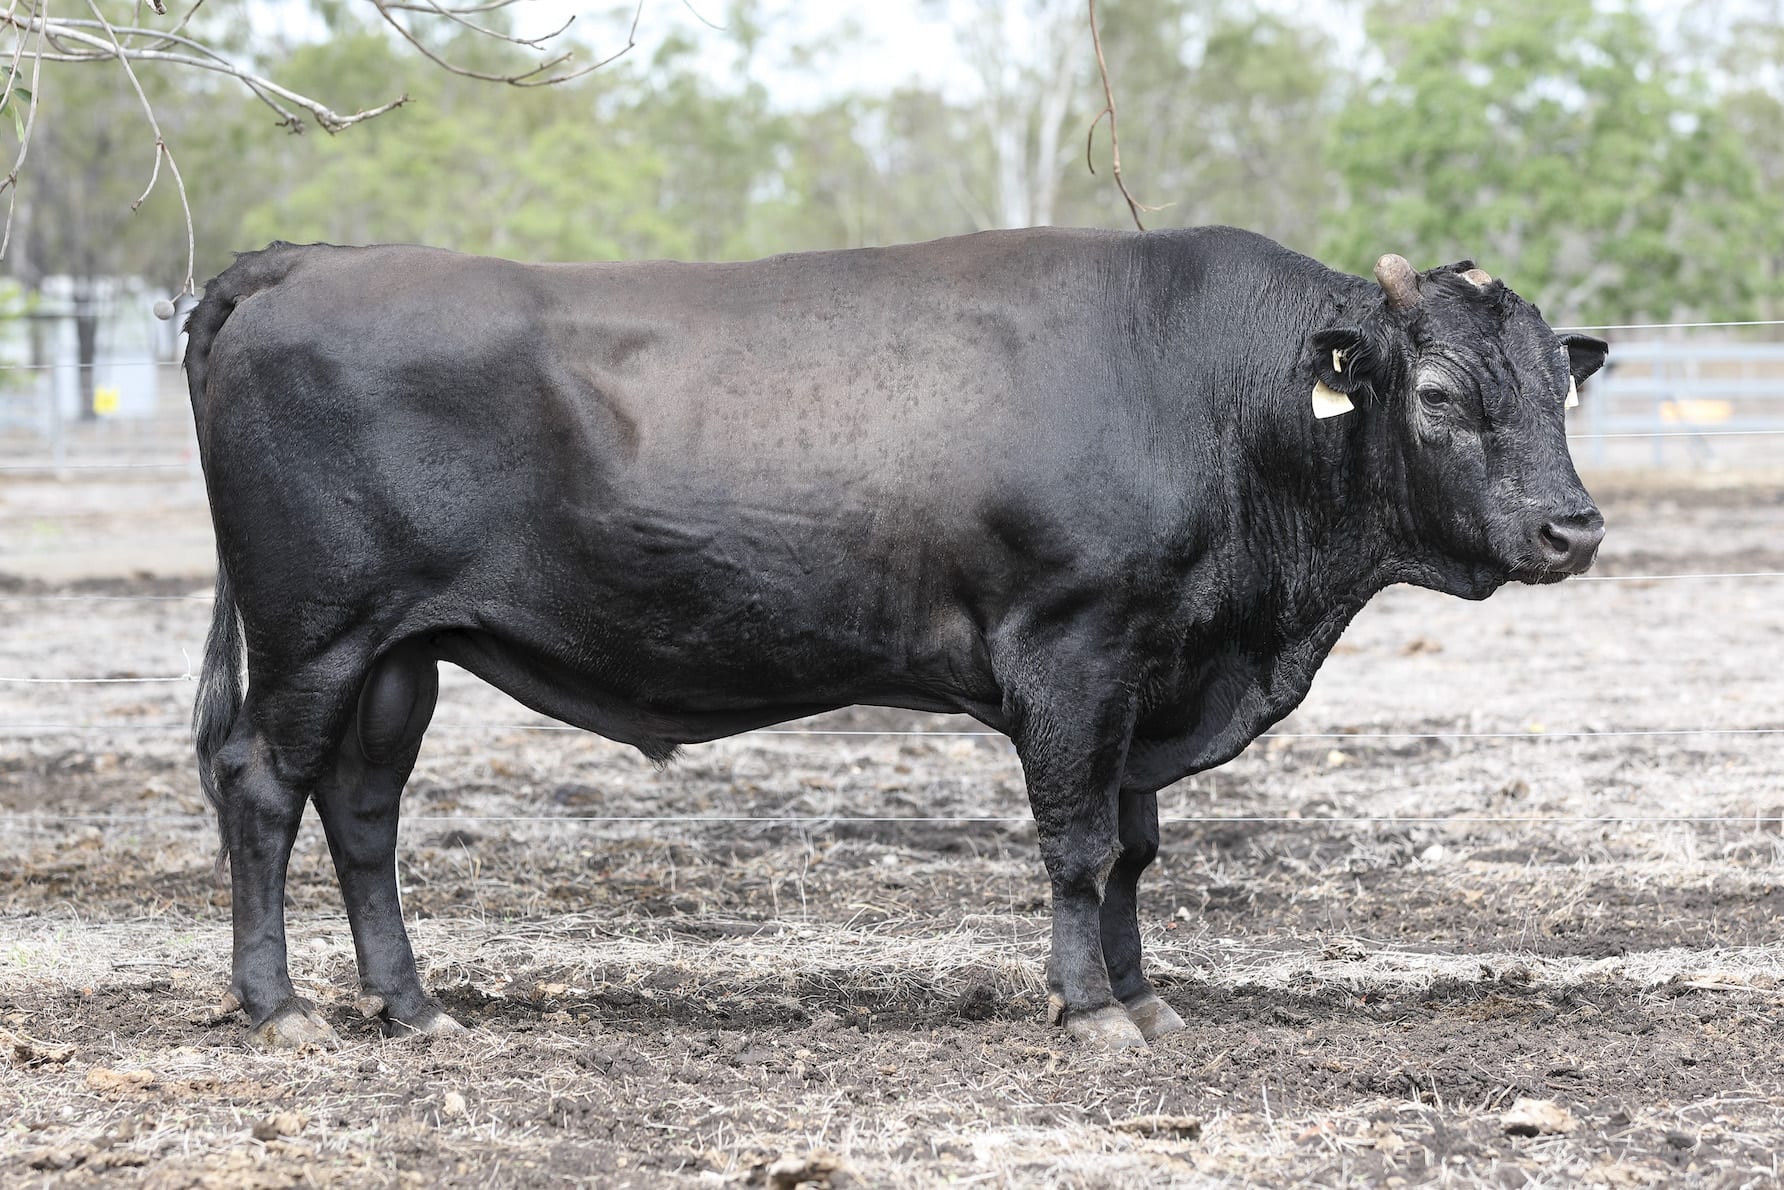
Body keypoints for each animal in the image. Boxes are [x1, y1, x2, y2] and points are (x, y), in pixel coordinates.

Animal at [188, 228, 1612, 1049]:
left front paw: (1143, 992)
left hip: (399, 653)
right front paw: (1090, 1012)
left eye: (1558, 386)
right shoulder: (1072, 653)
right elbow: (1080, 846)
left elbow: (1137, 848)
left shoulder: (1148, 673)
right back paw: (282, 1008)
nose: (1571, 527)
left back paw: (414, 1005)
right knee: (262, 784)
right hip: (316, 634)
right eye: (1438, 394)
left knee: (361, 810)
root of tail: (302, 260)